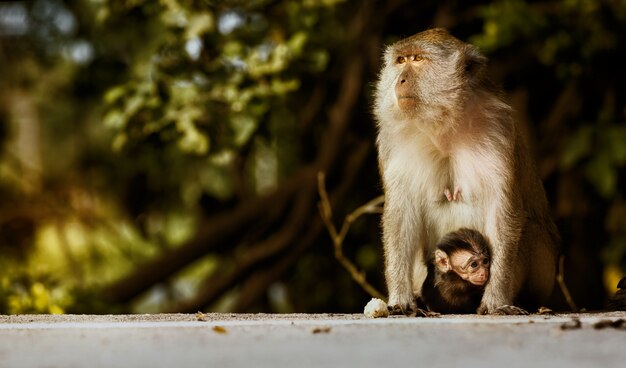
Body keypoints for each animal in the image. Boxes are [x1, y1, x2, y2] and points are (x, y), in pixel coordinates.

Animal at [372, 29, 560, 316]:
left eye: (418, 59)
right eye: (401, 60)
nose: (400, 79)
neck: (445, 127)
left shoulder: (499, 129)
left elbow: (503, 211)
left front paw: (496, 300)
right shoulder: (392, 142)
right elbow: (400, 213)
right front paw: (400, 298)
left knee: (529, 228)